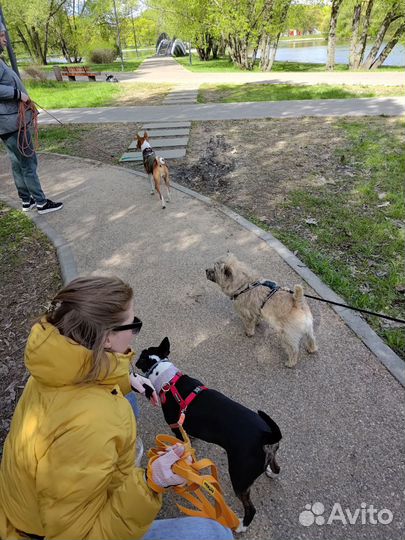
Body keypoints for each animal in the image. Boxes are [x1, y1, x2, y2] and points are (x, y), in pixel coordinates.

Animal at [136, 338, 280, 532]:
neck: (167, 379)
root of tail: (266, 435)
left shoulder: (176, 427)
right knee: (277, 468)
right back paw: (271, 471)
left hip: (239, 478)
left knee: (251, 509)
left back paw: (242, 526)